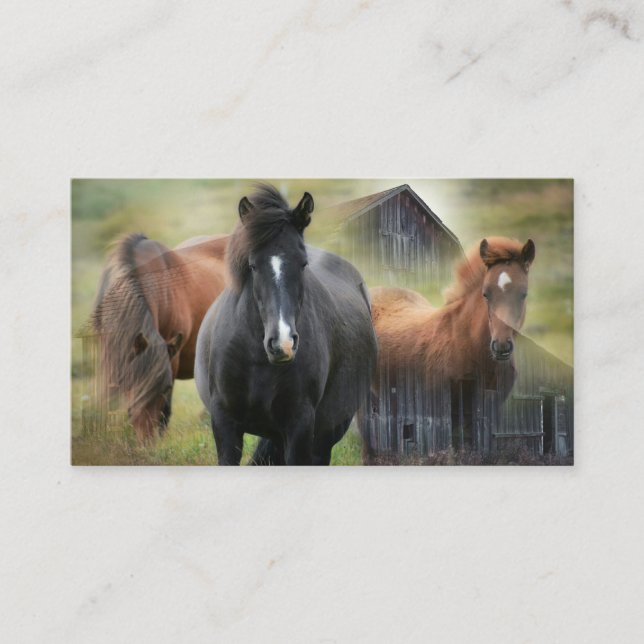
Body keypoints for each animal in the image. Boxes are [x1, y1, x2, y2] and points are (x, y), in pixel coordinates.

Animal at [195, 184, 377, 465]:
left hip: (326, 434)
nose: (283, 344)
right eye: (253, 265)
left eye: (303, 263)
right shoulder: (225, 424)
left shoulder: (299, 426)